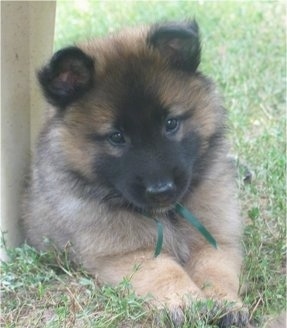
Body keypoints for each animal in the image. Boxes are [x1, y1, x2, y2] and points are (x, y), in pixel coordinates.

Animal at [22, 21, 249, 326]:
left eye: (171, 123)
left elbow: (215, 271)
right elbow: (165, 272)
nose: (161, 190)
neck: (167, 215)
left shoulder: (214, 238)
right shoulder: (126, 253)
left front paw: (226, 304)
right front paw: (186, 302)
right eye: (117, 137)